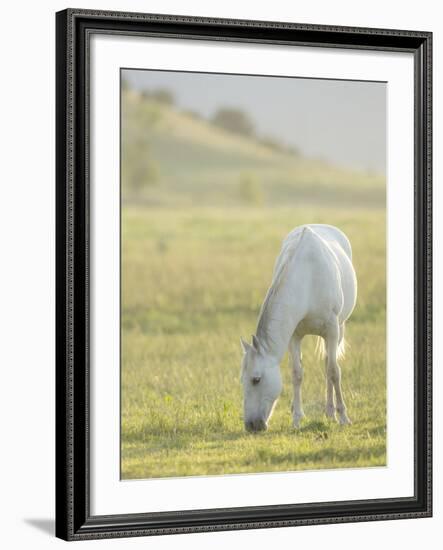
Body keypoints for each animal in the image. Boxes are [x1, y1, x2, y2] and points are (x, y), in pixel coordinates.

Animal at [241, 224, 360, 432]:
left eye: (256, 380)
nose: (251, 425)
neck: (308, 279)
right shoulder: (294, 336)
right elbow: (297, 373)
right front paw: (296, 418)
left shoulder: (332, 329)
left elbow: (334, 371)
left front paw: (344, 416)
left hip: (339, 329)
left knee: (329, 365)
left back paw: (332, 412)